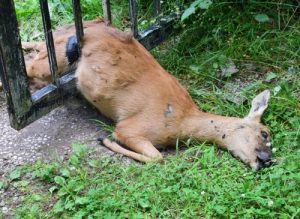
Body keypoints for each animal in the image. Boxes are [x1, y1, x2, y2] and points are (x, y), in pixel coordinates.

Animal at [23, 19, 274, 169]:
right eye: (264, 133)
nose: (267, 161)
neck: (182, 123)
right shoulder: (130, 127)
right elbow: (157, 157)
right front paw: (105, 139)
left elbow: (157, 157)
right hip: (55, 62)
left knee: (37, 46)